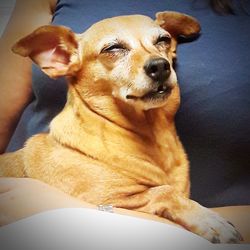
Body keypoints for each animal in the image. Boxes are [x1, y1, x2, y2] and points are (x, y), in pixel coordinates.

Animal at [0, 11, 242, 242]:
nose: (160, 66)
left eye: (163, 40)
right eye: (113, 48)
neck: (154, 137)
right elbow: (163, 191)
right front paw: (208, 220)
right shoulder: (108, 198)